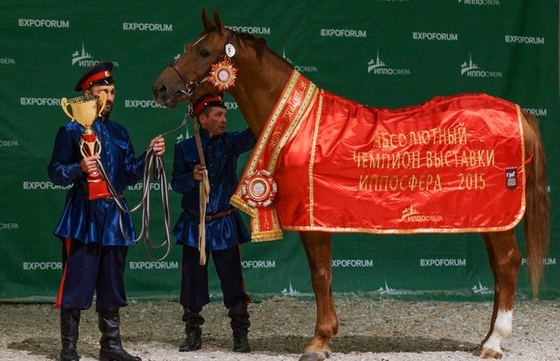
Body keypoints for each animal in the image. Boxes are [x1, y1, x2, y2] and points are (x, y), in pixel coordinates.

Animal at [152, 9, 548, 360]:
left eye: (204, 52)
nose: (161, 88)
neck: (297, 124)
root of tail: (519, 113)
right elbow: (324, 278)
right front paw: (326, 338)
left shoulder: (312, 221)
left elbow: (320, 276)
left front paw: (318, 342)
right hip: (490, 218)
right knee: (498, 269)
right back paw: (484, 340)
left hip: (498, 218)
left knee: (508, 263)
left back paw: (494, 342)